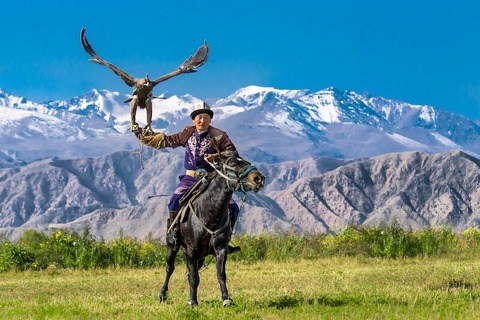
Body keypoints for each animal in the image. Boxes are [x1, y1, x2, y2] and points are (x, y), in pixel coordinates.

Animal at [158, 154, 266, 306]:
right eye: (233, 164)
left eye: (246, 162)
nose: (258, 178)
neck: (209, 212)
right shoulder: (191, 250)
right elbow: (194, 277)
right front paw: (193, 302)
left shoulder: (220, 248)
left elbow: (220, 274)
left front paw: (226, 299)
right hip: (172, 246)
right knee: (170, 268)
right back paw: (163, 294)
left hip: (200, 257)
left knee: (190, 271)